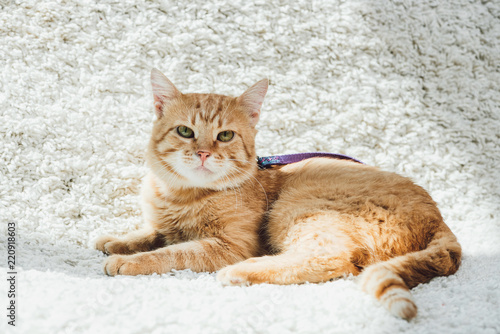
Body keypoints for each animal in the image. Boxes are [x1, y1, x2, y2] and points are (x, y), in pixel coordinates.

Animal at [94, 68, 460, 320]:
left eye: (225, 136)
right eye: (185, 131)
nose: (203, 153)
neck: (181, 195)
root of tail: (436, 216)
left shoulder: (230, 245)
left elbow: (173, 252)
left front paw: (128, 261)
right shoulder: (165, 225)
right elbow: (152, 233)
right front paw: (118, 240)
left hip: (297, 210)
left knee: (333, 259)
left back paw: (242, 272)